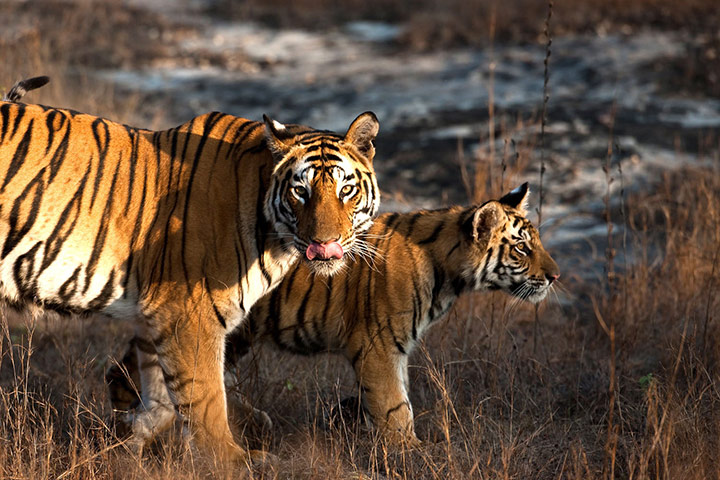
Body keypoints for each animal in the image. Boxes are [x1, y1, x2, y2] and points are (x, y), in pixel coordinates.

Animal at [0, 76, 381, 463]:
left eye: (346, 189)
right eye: (300, 191)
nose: (324, 244)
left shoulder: (154, 314)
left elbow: (162, 396)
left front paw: (127, 440)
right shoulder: (188, 313)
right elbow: (207, 400)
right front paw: (234, 461)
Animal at [107, 183, 559, 447]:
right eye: (522, 248)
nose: (555, 276)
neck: (448, 272)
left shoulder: (393, 350)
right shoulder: (378, 345)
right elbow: (396, 408)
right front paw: (411, 453)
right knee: (131, 372)